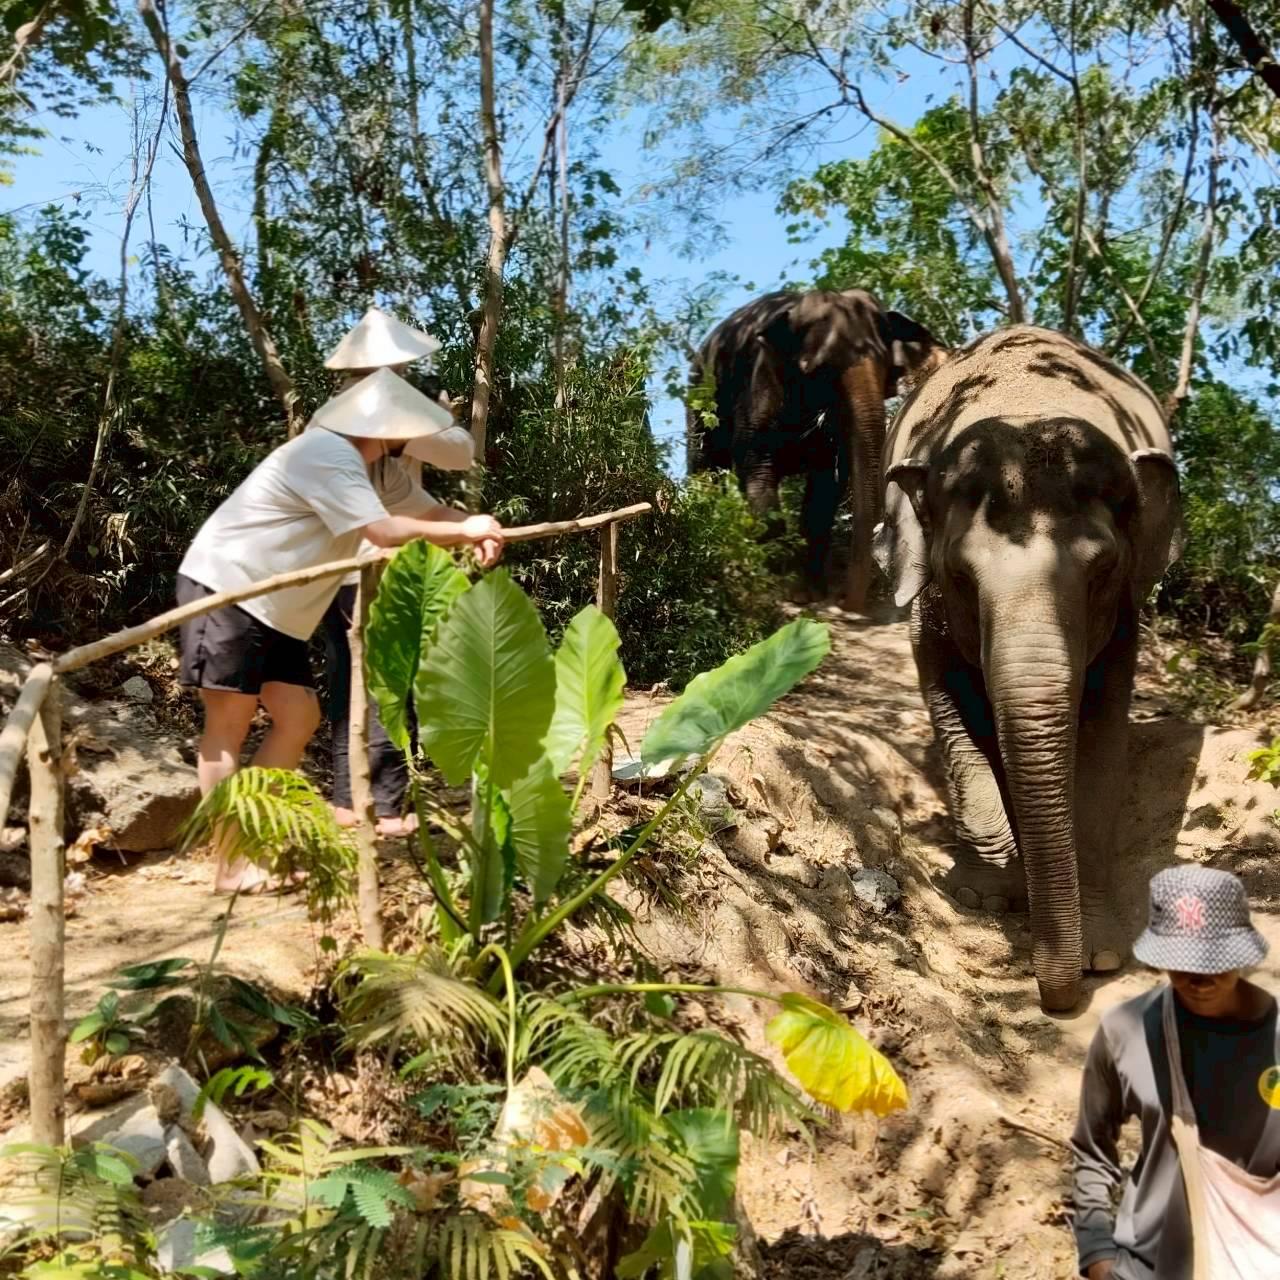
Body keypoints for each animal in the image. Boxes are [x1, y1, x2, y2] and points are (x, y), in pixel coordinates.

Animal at [687, 289, 946, 610]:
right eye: (821, 371)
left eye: (887, 368)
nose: (845, 600)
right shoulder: (758, 386)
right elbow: (757, 470)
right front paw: (784, 589)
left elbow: (827, 486)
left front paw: (811, 593)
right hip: (699, 397)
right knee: (705, 466)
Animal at [872, 325, 1183, 1012]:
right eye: (961, 575)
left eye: (1101, 571)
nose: (1058, 999)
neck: (1028, 406)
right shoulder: (928, 603)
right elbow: (946, 694)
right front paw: (986, 896)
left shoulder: (1124, 614)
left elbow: (1101, 729)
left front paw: (1100, 955)